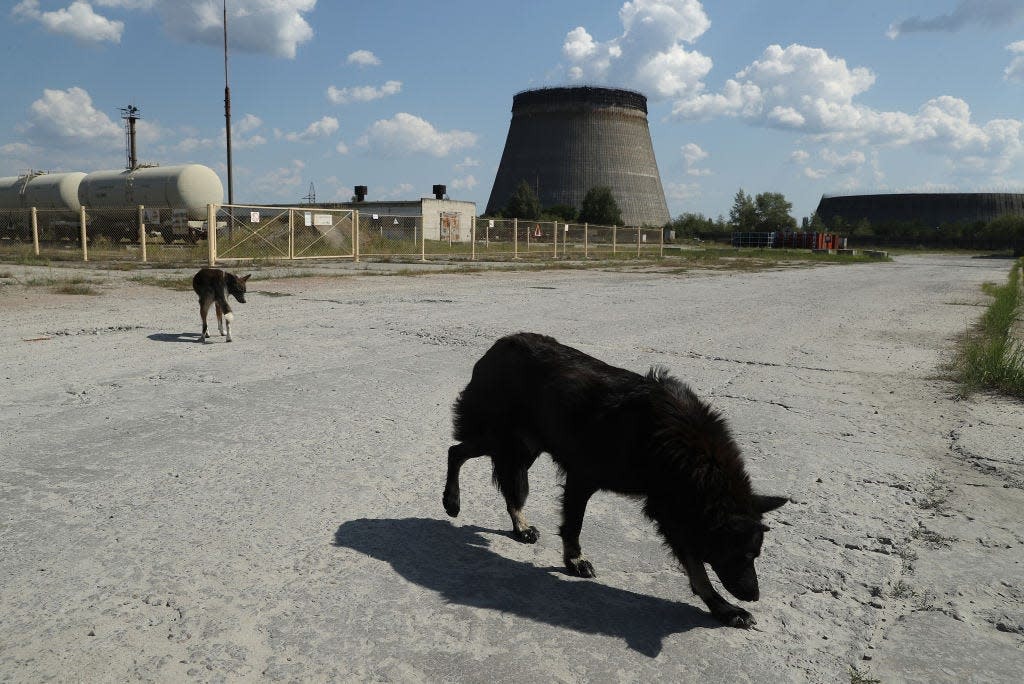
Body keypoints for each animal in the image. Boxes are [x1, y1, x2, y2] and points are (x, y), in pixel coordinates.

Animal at [444, 333, 786, 626]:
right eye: (744, 555)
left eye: (756, 555)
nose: (754, 596)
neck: (683, 450)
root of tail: (500, 344)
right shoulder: (582, 478)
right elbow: (573, 525)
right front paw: (574, 561)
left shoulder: (672, 509)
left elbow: (696, 568)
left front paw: (723, 609)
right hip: (501, 438)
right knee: (456, 452)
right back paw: (452, 501)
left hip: (524, 446)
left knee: (502, 480)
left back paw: (519, 525)